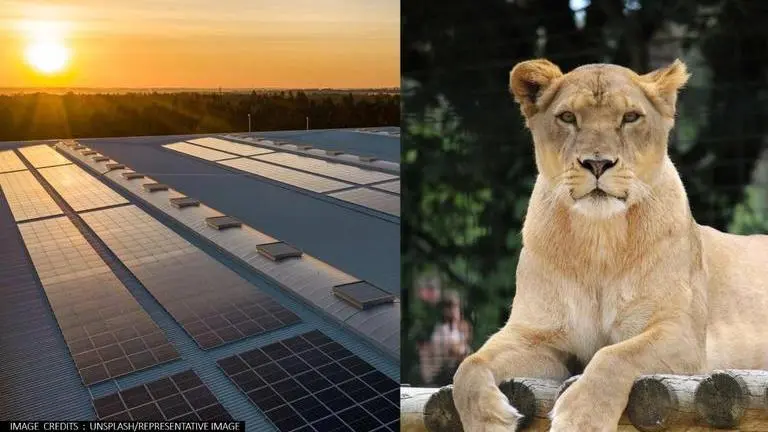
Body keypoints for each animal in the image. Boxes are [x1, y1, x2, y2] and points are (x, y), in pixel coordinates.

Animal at [452, 58, 768, 431]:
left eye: (630, 117)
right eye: (568, 117)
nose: (597, 163)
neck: (598, 238)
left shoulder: (682, 336)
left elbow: (615, 355)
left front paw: (582, 417)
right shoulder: (535, 335)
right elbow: (468, 366)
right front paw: (486, 419)